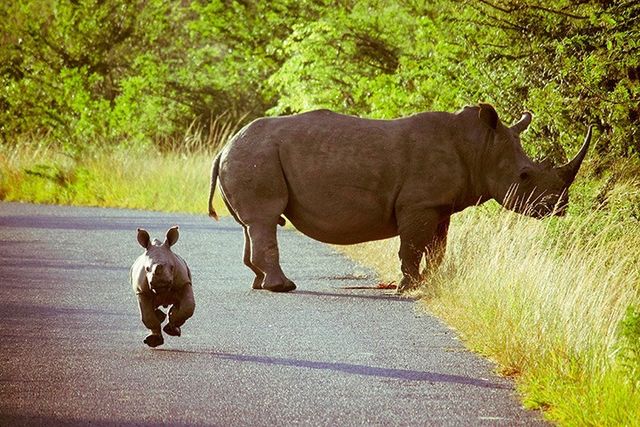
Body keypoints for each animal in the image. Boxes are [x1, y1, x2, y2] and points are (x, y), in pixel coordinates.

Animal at [209, 104, 592, 292]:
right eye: (525, 176)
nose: (560, 208)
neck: (479, 147)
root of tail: (224, 147)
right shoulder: (418, 204)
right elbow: (411, 246)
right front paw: (408, 287)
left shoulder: (439, 206)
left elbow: (437, 248)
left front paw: (431, 282)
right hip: (256, 155)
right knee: (264, 219)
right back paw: (283, 288)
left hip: (251, 154)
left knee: (253, 224)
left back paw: (260, 283)